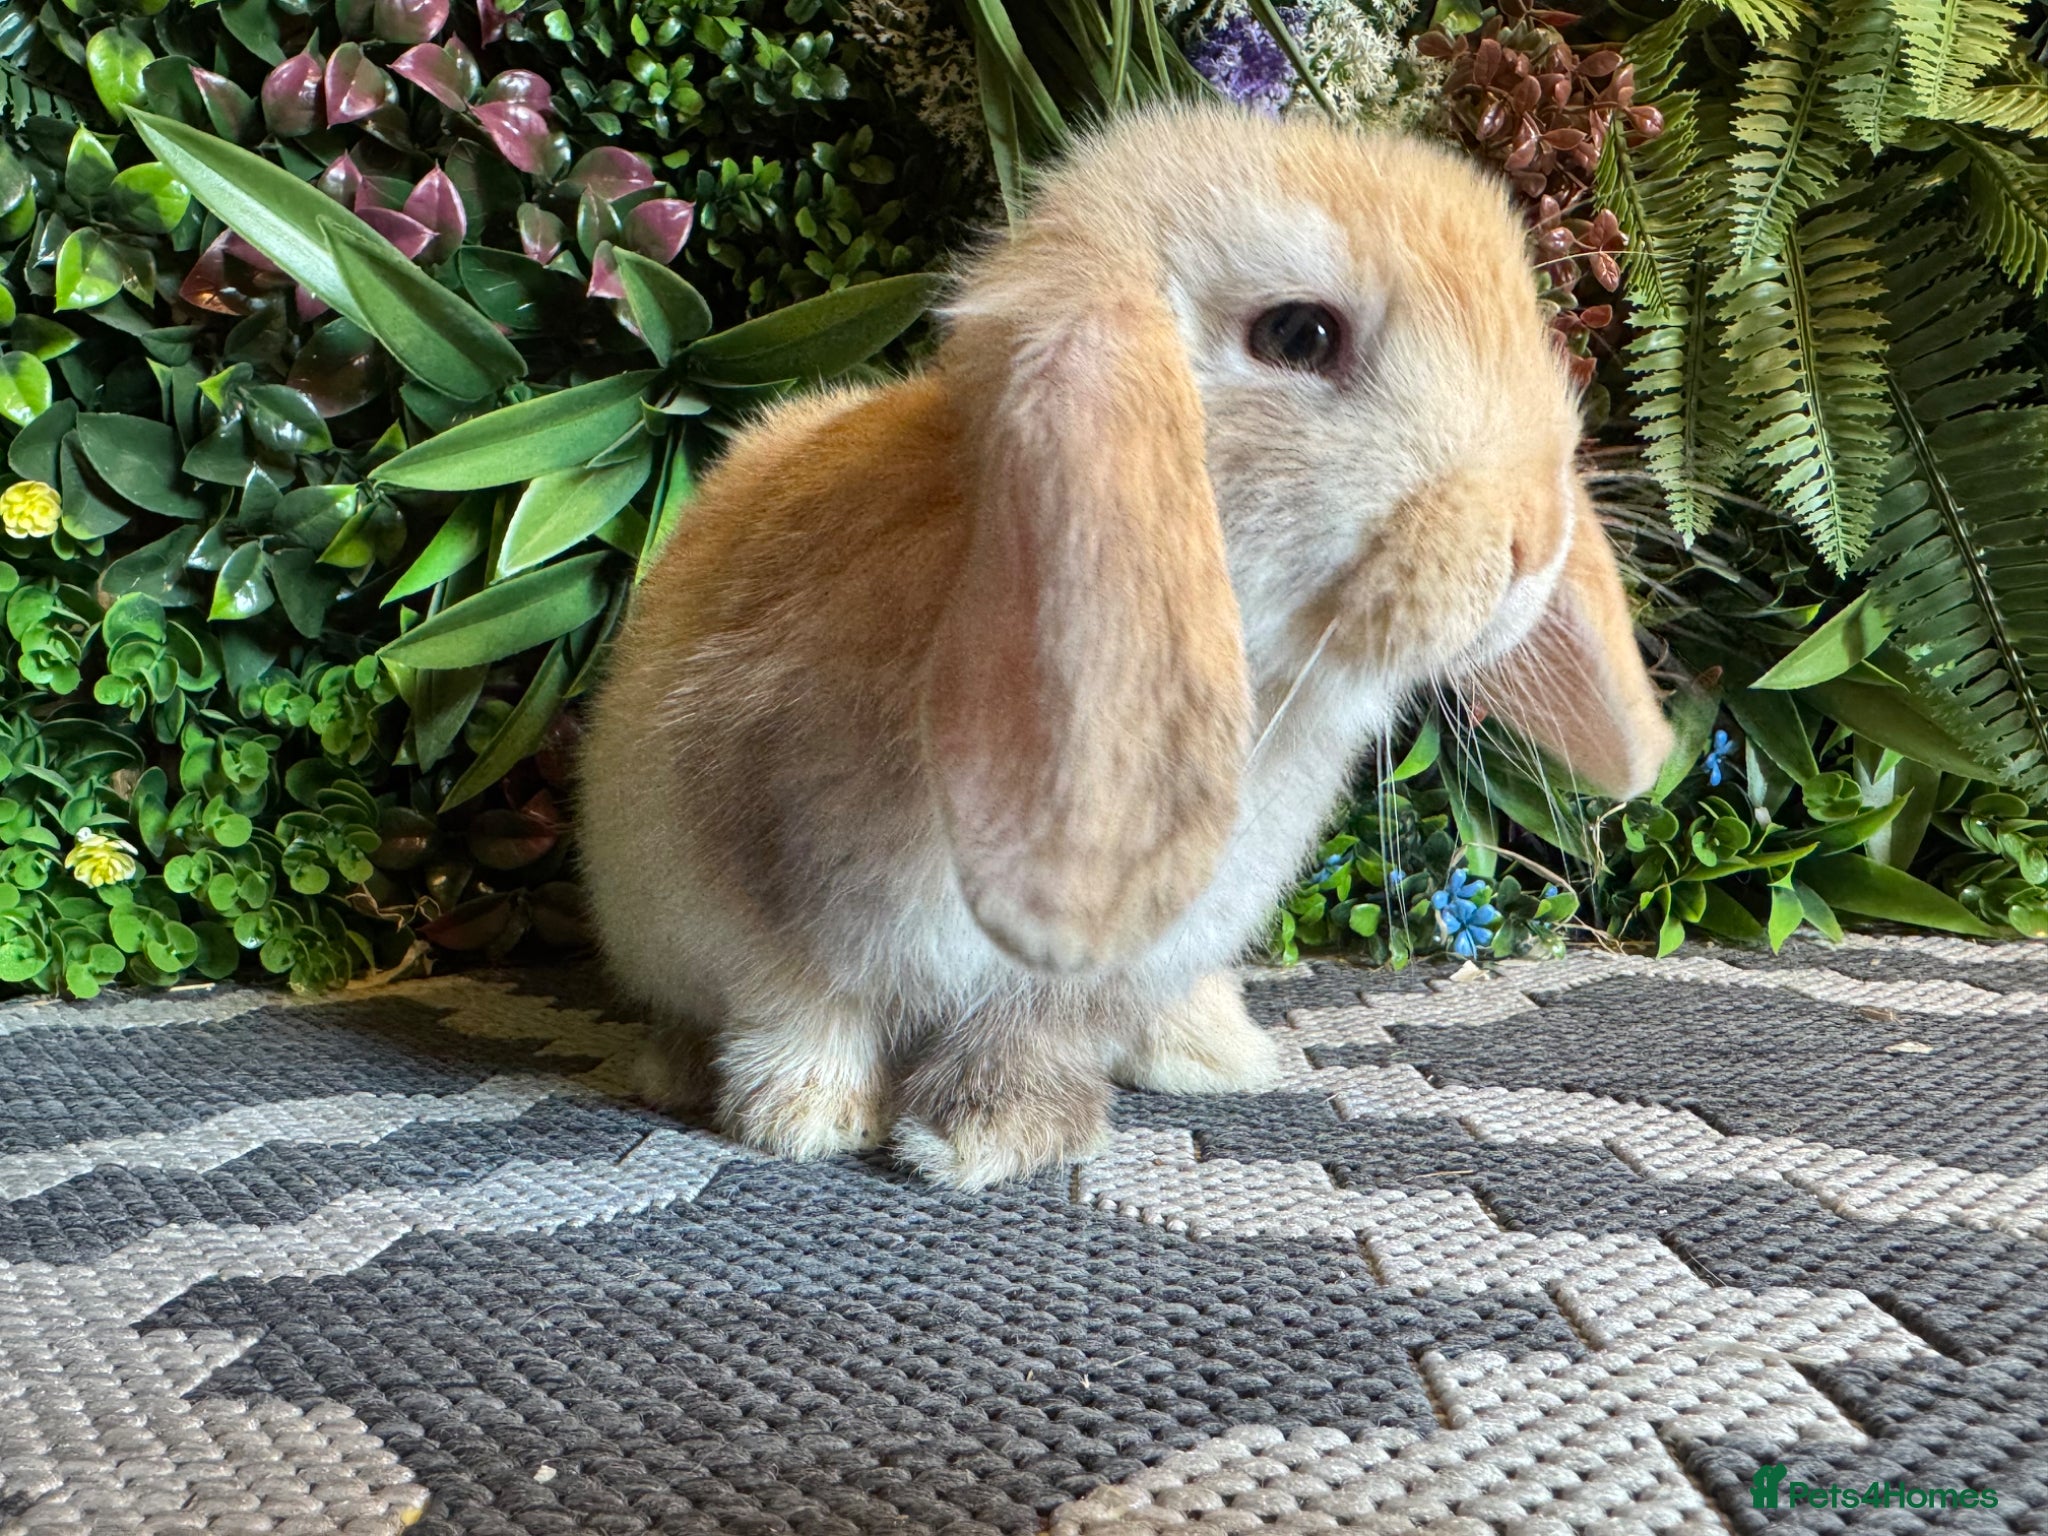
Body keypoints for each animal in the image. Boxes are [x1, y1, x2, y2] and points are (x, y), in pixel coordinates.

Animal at [579, 101, 1673, 1189]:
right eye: (1298, 332)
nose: (1532, 535)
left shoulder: (1106, 963)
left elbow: (1039, 1028)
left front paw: (993, 1133)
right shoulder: (761, 861)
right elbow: (800, 999)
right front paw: (802, 1117)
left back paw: (1215, 1051)